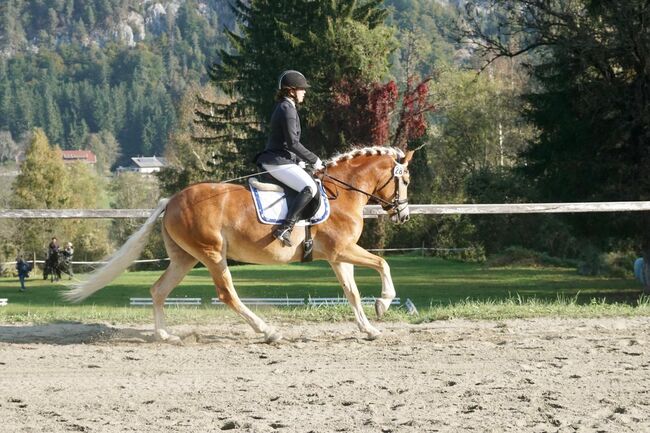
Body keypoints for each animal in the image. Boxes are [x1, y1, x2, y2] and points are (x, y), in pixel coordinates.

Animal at [64, 145, 410, 340]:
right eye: (404, 179)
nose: (403, 216)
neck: (344, 194)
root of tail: (172, 200)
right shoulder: (343, 250)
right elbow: (383, 263)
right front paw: (383, 303)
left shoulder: (338, 256)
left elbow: (352, 292)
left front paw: (369, 329)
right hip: (212, 254)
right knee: (227, 294)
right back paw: (267, 331)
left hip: (185, 258)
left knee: (158, 290)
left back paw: (164, 335)